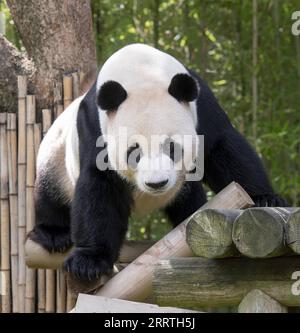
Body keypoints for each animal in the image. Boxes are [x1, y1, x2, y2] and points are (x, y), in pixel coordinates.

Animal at [28, 42, 288, 278]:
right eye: (134, 152)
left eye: (171, 148)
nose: (157, 184)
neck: (141, 71)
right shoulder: (94, 126)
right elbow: (99, 185)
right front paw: (88, 262)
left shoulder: (200, 107)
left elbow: (225, 150)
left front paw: (265, 198)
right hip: (56, 156)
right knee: (49, 194)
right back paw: (54, 234)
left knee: (189, 198)